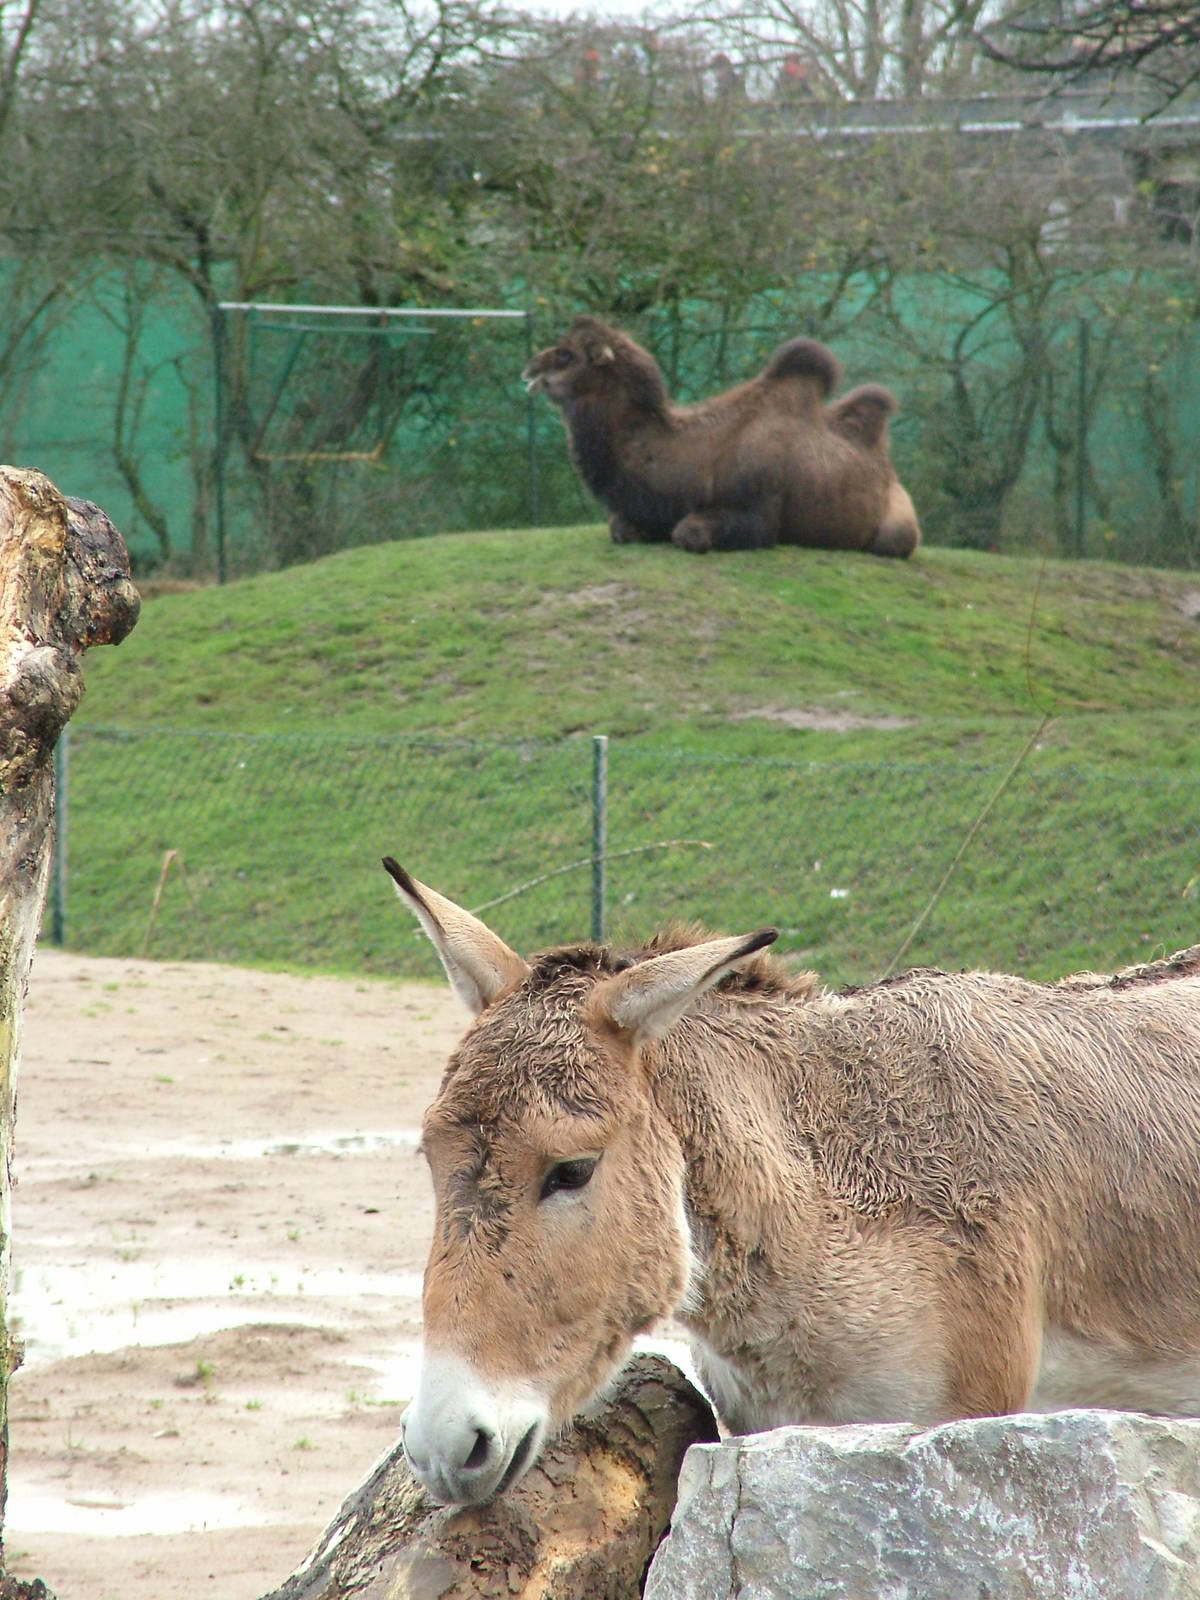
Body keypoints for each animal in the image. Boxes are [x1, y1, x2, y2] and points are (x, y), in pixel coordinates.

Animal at [522, 316, 920, 556]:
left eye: (566, 354)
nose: (530, 367)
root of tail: (888, 470)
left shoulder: (758, 511)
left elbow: (689, 533)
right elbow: (620, 528)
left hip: (899, 528)